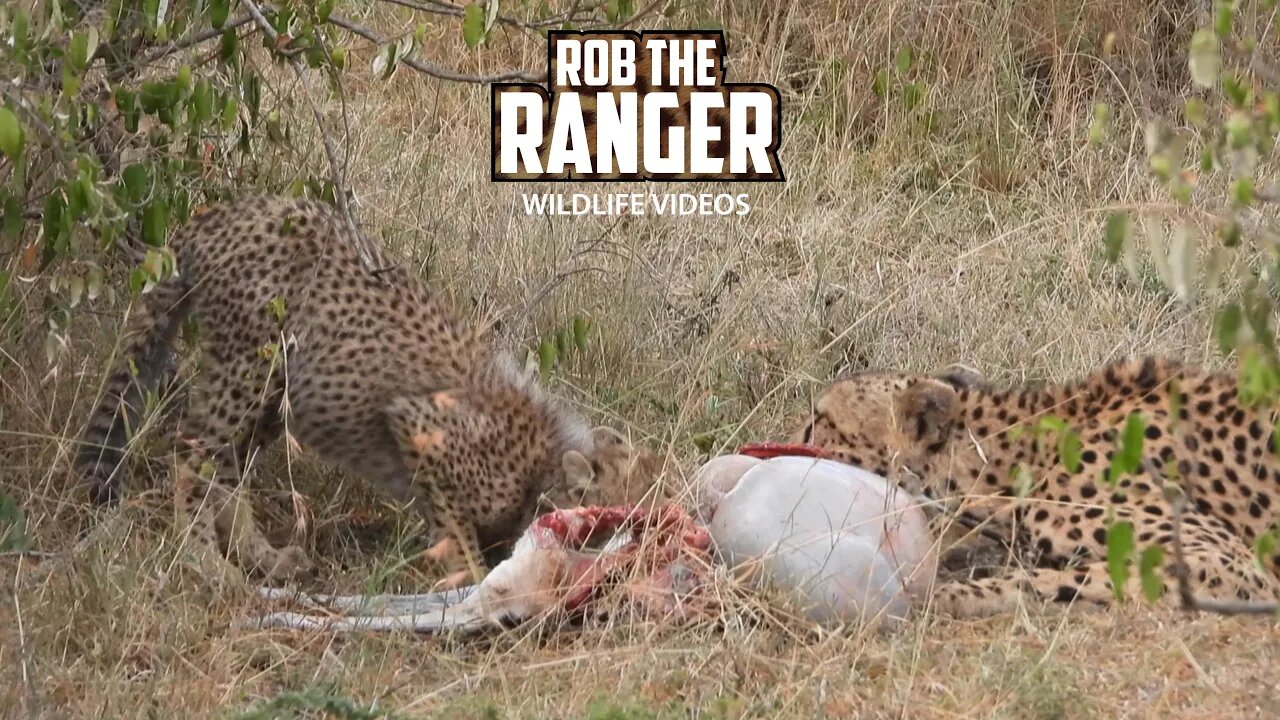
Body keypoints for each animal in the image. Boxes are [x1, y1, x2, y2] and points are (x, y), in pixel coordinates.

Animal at [74, 194, 665, 584]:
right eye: (625, 522)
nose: (652, 555)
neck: (541, 464)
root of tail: (221, 212)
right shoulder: (418, 426)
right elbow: (455, 531)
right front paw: (473, 585)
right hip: (249, 365)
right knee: (193, 452)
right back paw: (206, 563)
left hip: (278, 388)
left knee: (227, 466)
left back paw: (265, 557)